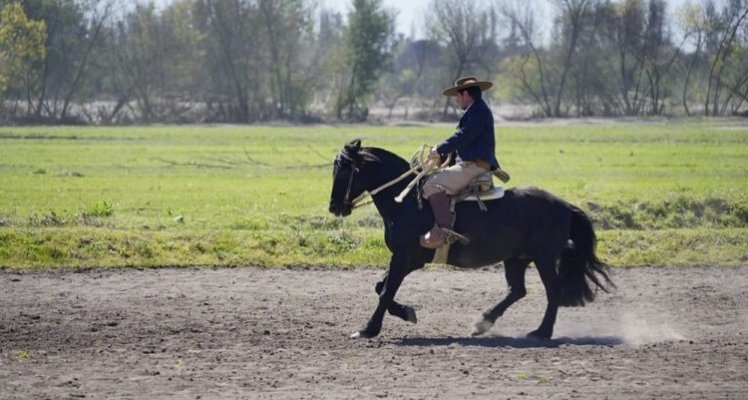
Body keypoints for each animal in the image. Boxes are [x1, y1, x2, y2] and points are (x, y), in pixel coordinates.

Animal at [328, 139, 612, 340]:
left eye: (343, 171)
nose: (334, 207)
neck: (406, 201)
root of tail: (565, 206)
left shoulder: (404, 258)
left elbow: (386, 291)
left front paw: (368, 329)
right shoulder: (407, 260)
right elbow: (380, 286)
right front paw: (407, 312)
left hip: (544, 259)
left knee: (553, 291)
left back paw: (541, 332)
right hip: (516, 259)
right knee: (517, 290)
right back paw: (483, 322)